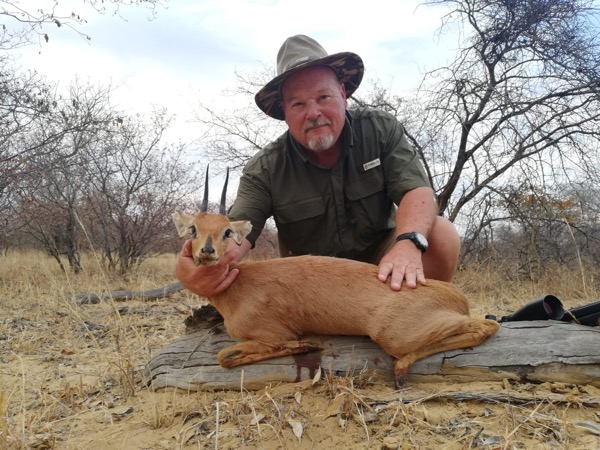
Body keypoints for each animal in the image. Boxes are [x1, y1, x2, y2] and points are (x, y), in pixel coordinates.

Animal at [173, 168, 500, 387]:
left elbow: (225, 355)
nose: (207, 251)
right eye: (193, 229)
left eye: (227, 231)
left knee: (488, 325)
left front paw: (306, 346)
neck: (237, 287)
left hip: (394, 335)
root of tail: (455, 296)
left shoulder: (272, 335)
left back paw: (400, 371)